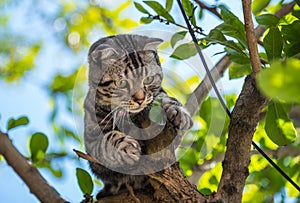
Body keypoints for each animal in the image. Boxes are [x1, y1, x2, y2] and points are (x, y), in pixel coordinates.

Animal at [83, 34, 193, 198]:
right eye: (121, 83)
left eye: (148, 79)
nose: (140, 100)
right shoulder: (92, 147)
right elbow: (106, 141)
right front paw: (126, 146)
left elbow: (163, 98)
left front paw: (177, 111)